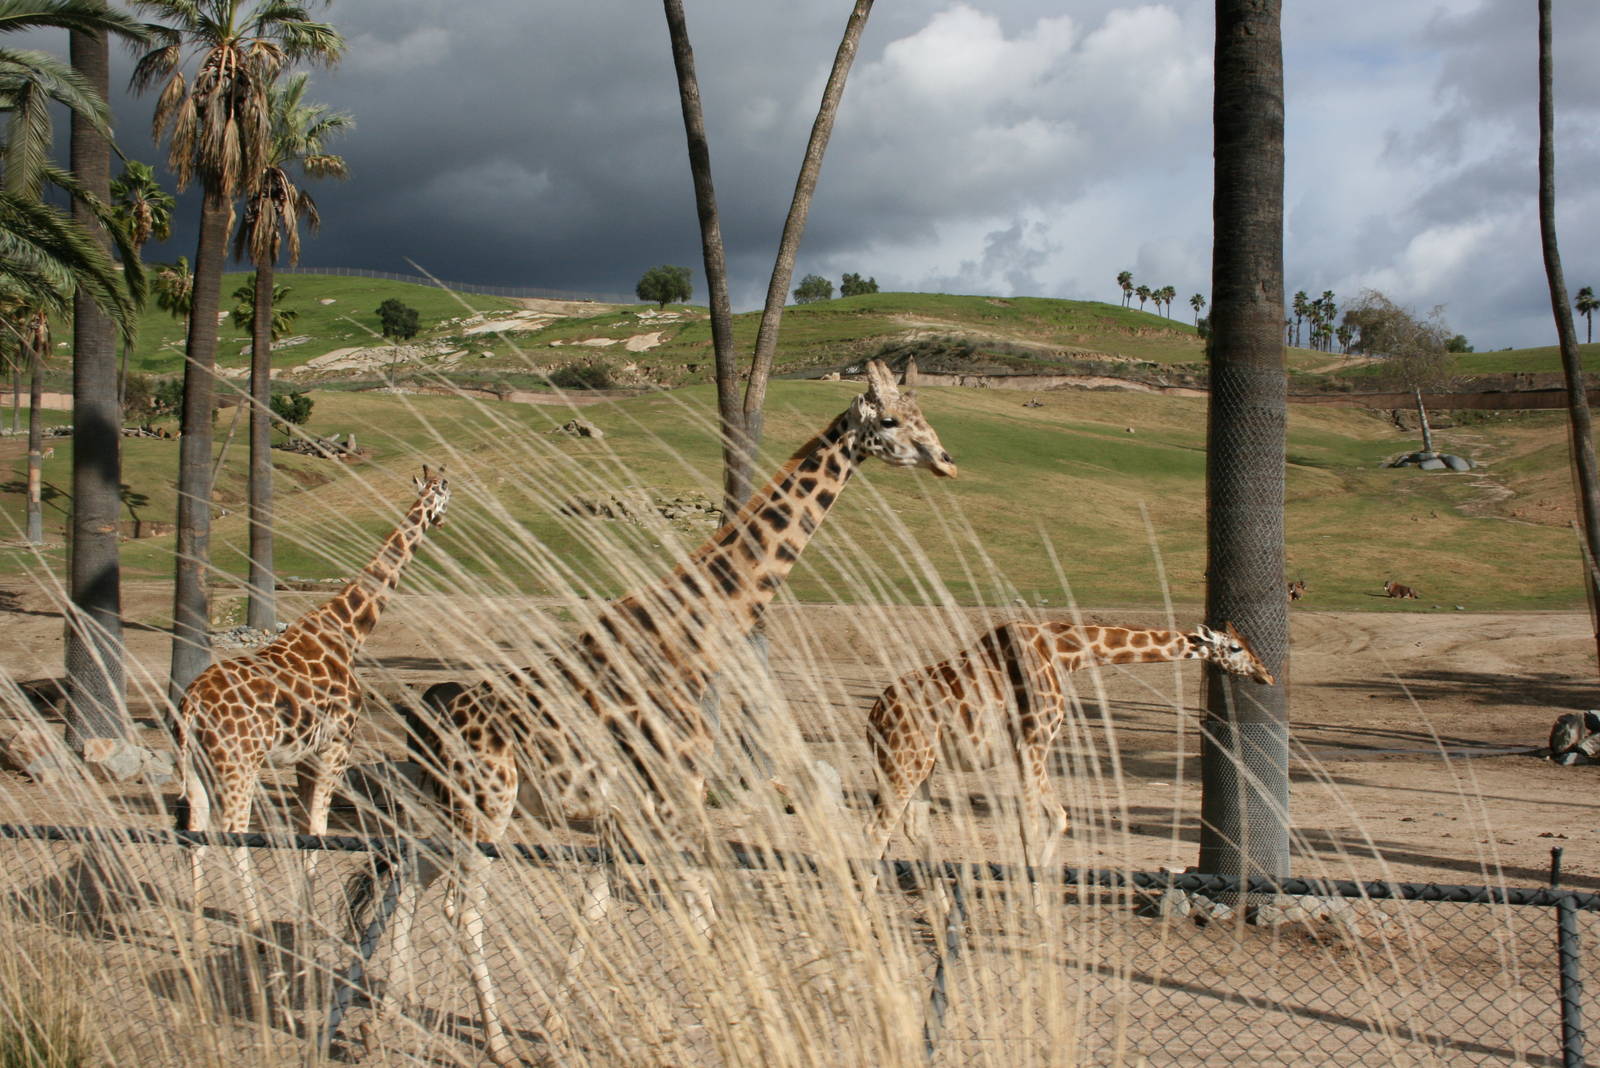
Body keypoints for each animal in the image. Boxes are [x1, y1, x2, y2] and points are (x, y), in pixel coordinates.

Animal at [176, 467, 450, 944]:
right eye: (443, 494)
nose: (443, 520)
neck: (348, 633)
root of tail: (190, 706)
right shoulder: (336, 747)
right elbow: (319, 830)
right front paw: (309, 924)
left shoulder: (305, 756)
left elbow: (306, 831)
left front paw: (305, 919)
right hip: (239, 762)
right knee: (232, 831)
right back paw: (256, 926)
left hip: (199, 763)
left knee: (196, 827)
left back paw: (194, 929)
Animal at [372, 359, 955, 1065]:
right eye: (892, 419)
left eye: (925, 413)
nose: (947, 460)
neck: (691, 639)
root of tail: (424, 713)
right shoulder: (677, 799)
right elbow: (700, 908)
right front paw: (728, 1024)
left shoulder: (632, 814)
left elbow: (604, 911)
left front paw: (567, 1026)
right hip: (487, 806)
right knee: (462, 908)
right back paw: (495, 1043)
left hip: (443, 807)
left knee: (407, 879)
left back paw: (389, 1015)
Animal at [865, 621, 1274, 880]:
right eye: (1236, 647)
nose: (1266, 674)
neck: (1066, 653)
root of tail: (873, 718)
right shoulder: (1033, 743)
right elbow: (1034, 826)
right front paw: (1038, 918)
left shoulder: (1025, 751)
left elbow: (1058, 818)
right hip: (905, 762)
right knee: (875, 831)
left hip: (920, 764)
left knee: (911, 827)